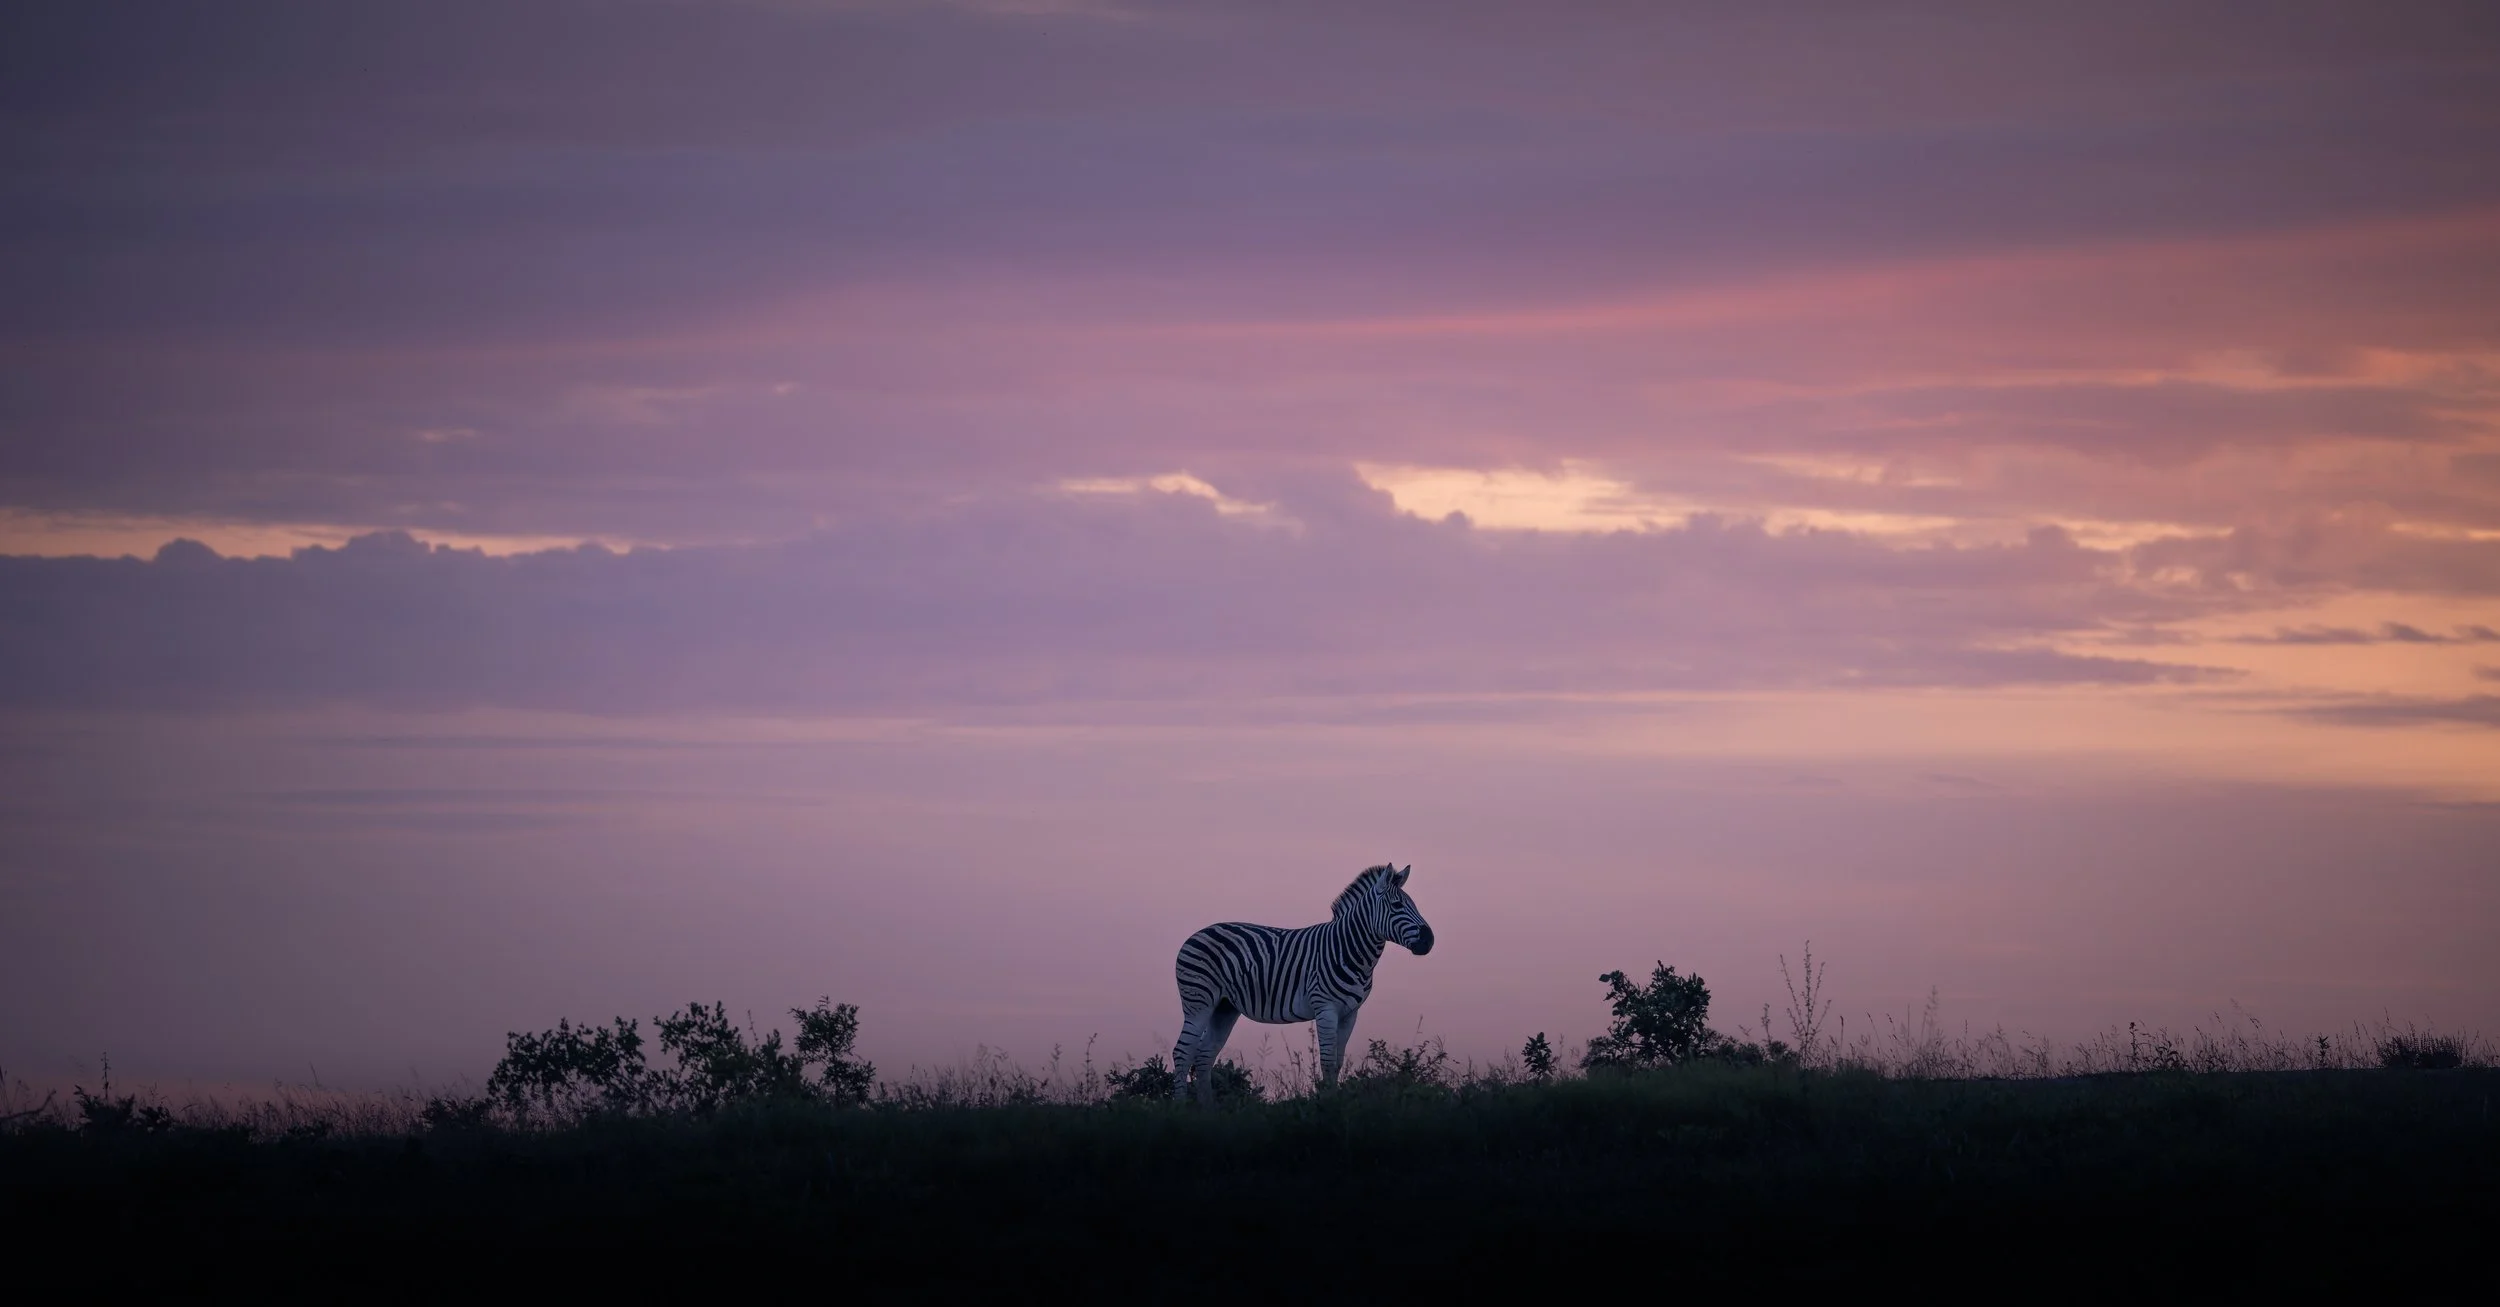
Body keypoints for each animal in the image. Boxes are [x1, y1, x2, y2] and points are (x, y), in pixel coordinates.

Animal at [1170, 862, 1435, 1103]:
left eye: (1414, 905)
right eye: (1397, 905)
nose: (1429, 940)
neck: (1349, 950)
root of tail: (1196, 934)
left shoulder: (1350, 1013)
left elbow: (1338, 1061)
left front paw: (1336, 1102)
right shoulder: (1326, 1008)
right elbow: (1327, 1061)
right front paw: (1328, 1105)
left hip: (1225, 1008)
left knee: (1204, 1056)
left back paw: (1208, 1111)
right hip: (1199, 1002)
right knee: (1182, 1052)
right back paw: (1181, 1109)